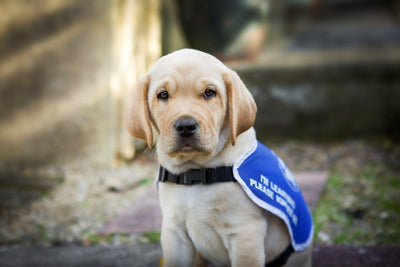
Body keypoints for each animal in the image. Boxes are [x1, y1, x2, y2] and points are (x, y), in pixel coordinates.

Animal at [127, 49, 312, 266]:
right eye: (162, 95)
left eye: (209, 93)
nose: (186, 126)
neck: (195, 173)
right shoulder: (174, 231)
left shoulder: (245, 233)